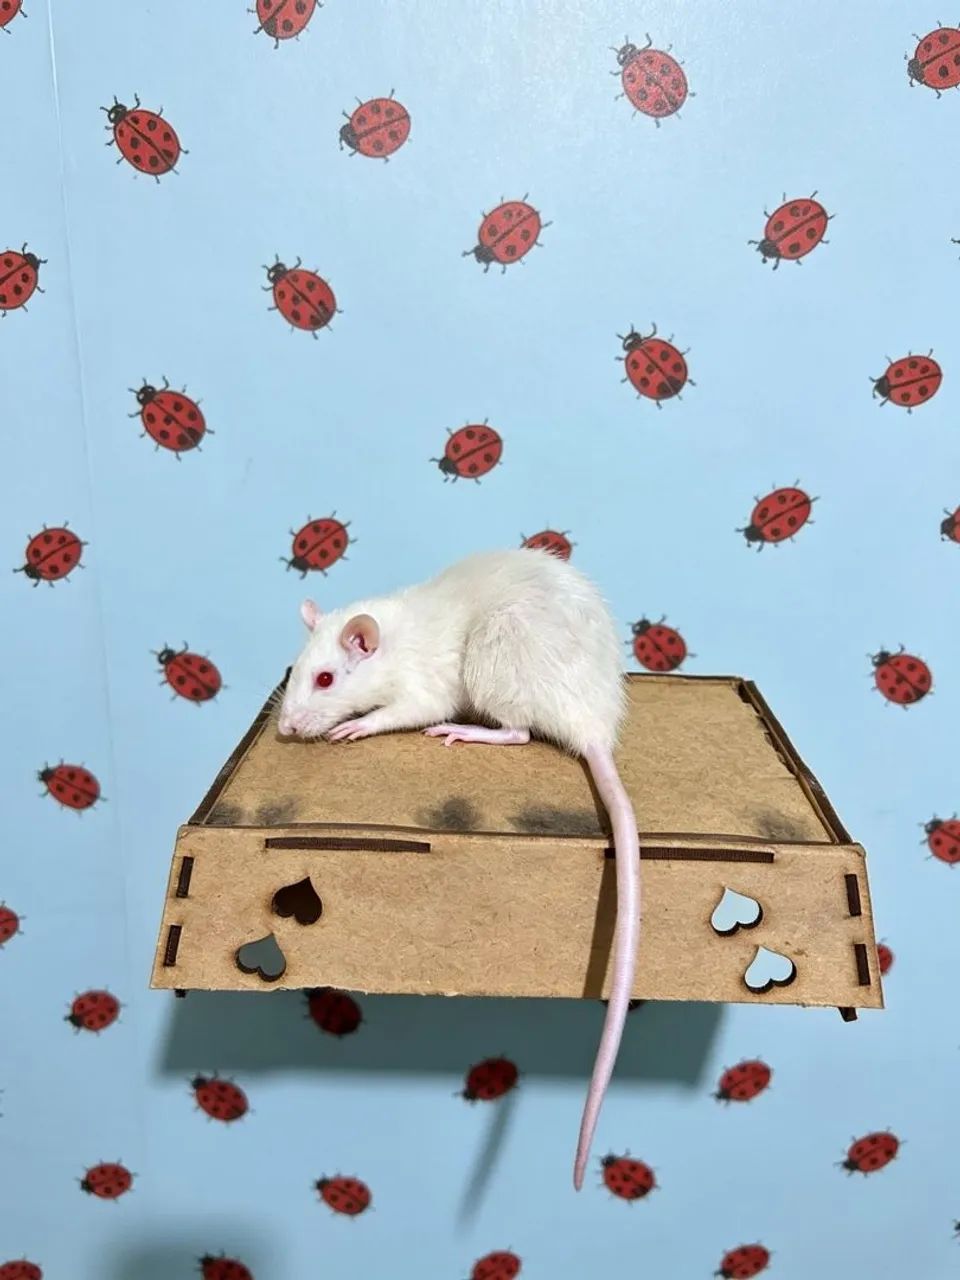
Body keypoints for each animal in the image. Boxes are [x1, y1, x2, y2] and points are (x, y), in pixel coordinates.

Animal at [278, 546, 642, 1191]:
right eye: (297, 670)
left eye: (325, 679)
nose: (285, 727)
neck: (392, 635)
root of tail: (592, 725)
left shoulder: (421, 685)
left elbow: (412, 708)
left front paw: (359, 724)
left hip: (495, 663)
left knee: (517, 730)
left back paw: (470, 729)